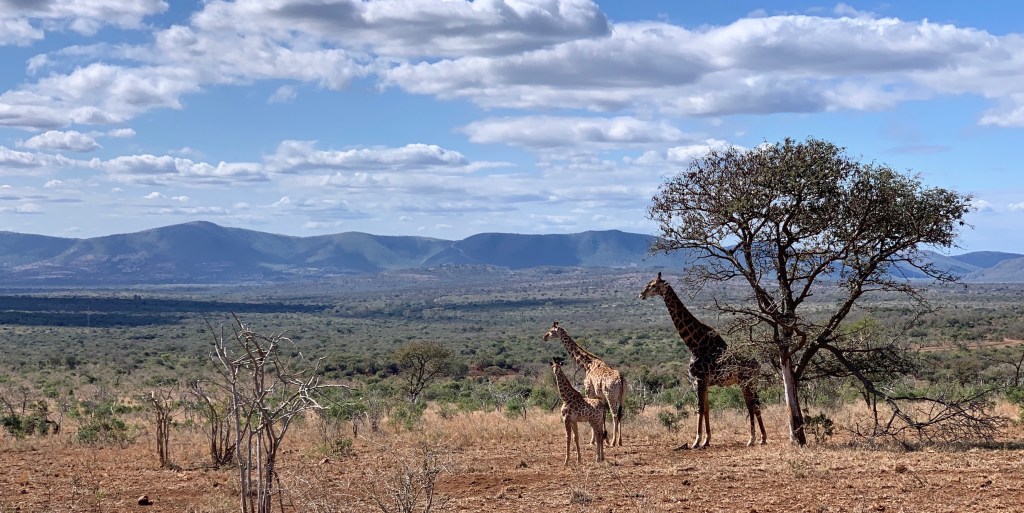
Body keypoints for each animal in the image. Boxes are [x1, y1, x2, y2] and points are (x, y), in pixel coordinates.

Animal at [639, 272, 767, 449]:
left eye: (653, 285)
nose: (641, 294)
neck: (694, 343)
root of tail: (758, 365)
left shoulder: (699, 379)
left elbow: (700, 408)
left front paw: (696, 441)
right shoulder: (704, 382)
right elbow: (707, 408)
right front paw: (706, 440)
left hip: (745, 382)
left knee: (751, 405)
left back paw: (752, 439)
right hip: (751, 382)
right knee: (756, 404)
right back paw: (762, 438)